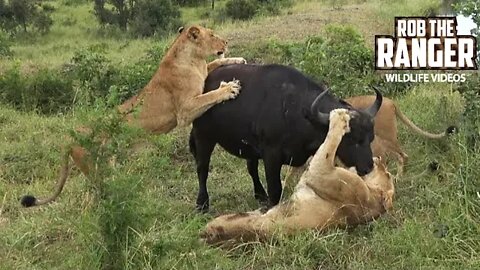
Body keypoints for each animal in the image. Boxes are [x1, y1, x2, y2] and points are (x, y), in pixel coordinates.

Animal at [21, 25, 248, 207]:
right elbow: (210, 95)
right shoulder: (184, 112)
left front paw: (237, 59)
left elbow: (215, 64)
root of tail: (70, 137)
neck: (193, 58)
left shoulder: (203, 73)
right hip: (95, 168)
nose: (226, 42)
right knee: (96, 194)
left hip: (107, 163)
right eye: (212, 34)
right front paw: (228, 88)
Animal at [189, 64, 380, 212]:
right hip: (203, 136)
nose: (368, 167)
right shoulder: (271, 155)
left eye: (370, 138)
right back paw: (202, 203)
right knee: (202, 169)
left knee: (251, 168)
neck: (295, 110)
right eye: (352, 140)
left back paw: (260, 194)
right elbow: (275, 189)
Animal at [200, 108, 394, 247]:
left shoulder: (322, 172)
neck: (372, 197)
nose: (377, 159)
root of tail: (205, 236)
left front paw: (340, 117)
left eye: (388, 174)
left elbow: (330, 143)